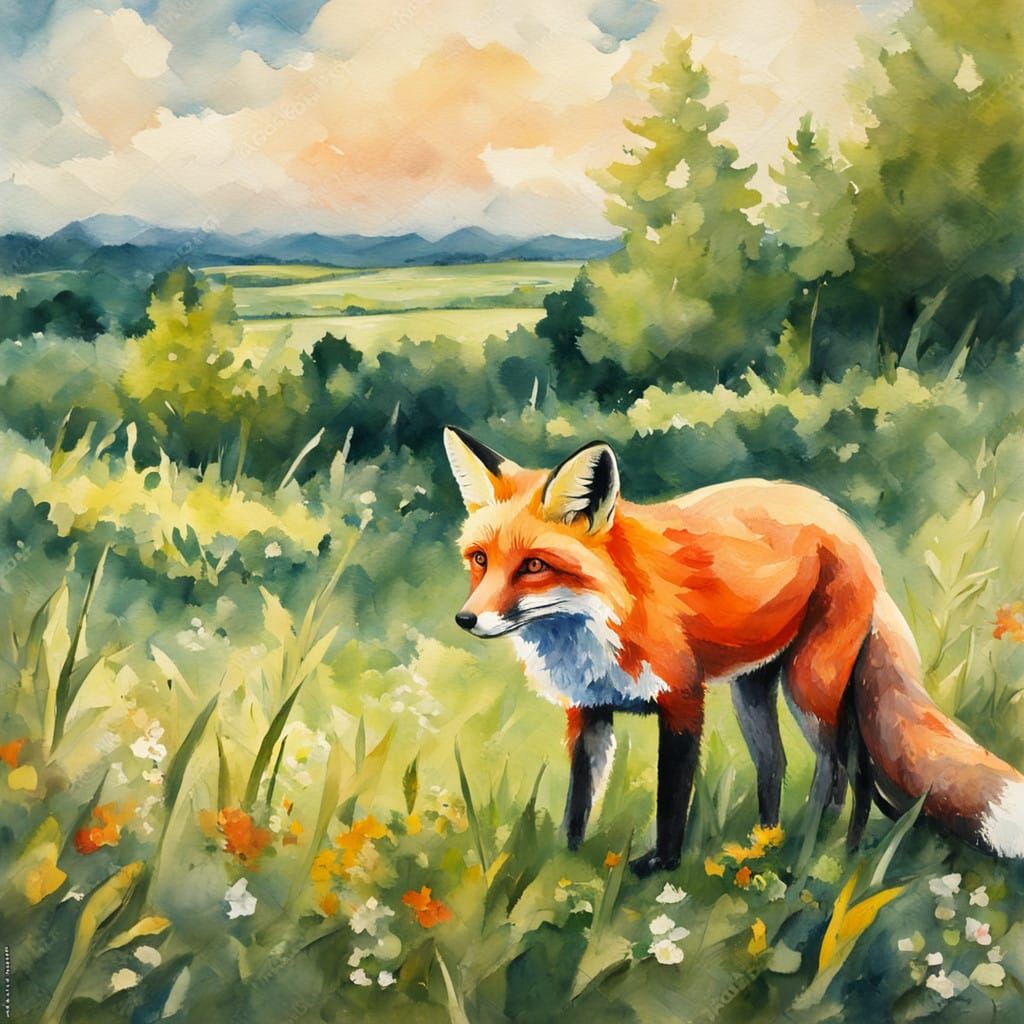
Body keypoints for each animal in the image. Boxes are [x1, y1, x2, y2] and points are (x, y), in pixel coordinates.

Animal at [442, 425, 1024, 877]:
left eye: (533, 566)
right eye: (479, 559)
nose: (466, 619)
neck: (598, 622)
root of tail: (847, 527)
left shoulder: (682, 700)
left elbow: (672, 797)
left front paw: (661, 865)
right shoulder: (588, 711)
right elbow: (579, 802)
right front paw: (567, 862)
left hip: (811, 687)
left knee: (844, 769)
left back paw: (826, 846)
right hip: (754, 691)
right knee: (778, 763)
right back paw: (767, 839)